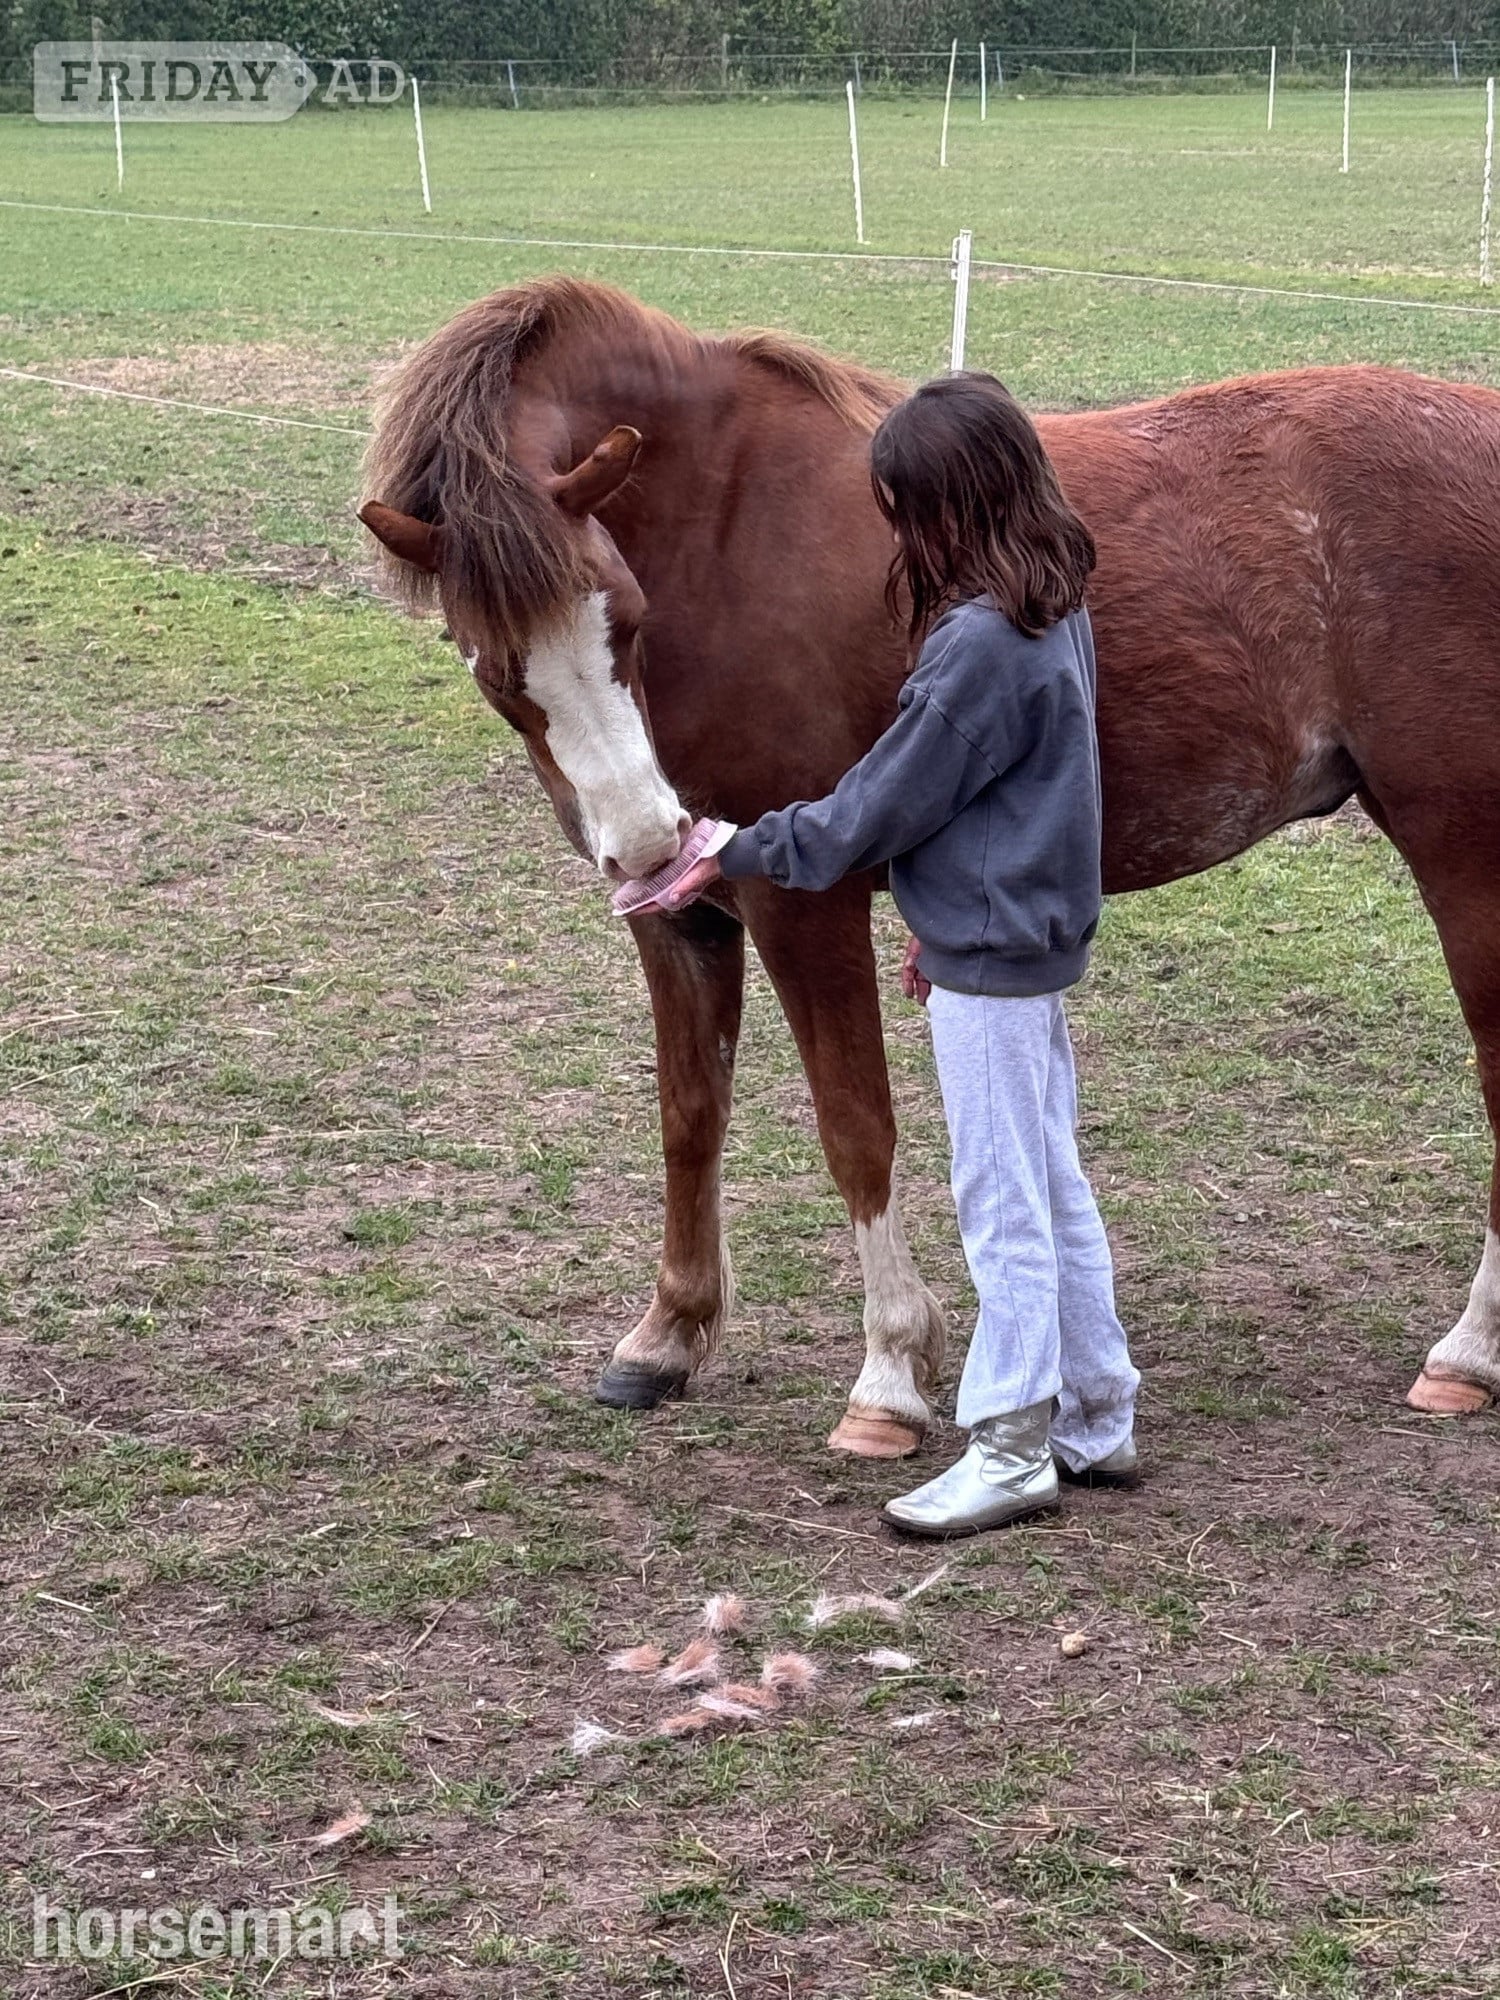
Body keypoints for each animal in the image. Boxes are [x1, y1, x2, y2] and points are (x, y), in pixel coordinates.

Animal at [359, 275, 1500, 1459]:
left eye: (623, 618)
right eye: (495, 668)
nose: (650, 835)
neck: (723, 525)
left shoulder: (802, 902)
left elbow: (855, 1127)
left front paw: (890, 1373)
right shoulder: (681, 920)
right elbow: (689, 1115)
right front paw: (668, 1335)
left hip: (1465, 849)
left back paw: (1468, 1353)